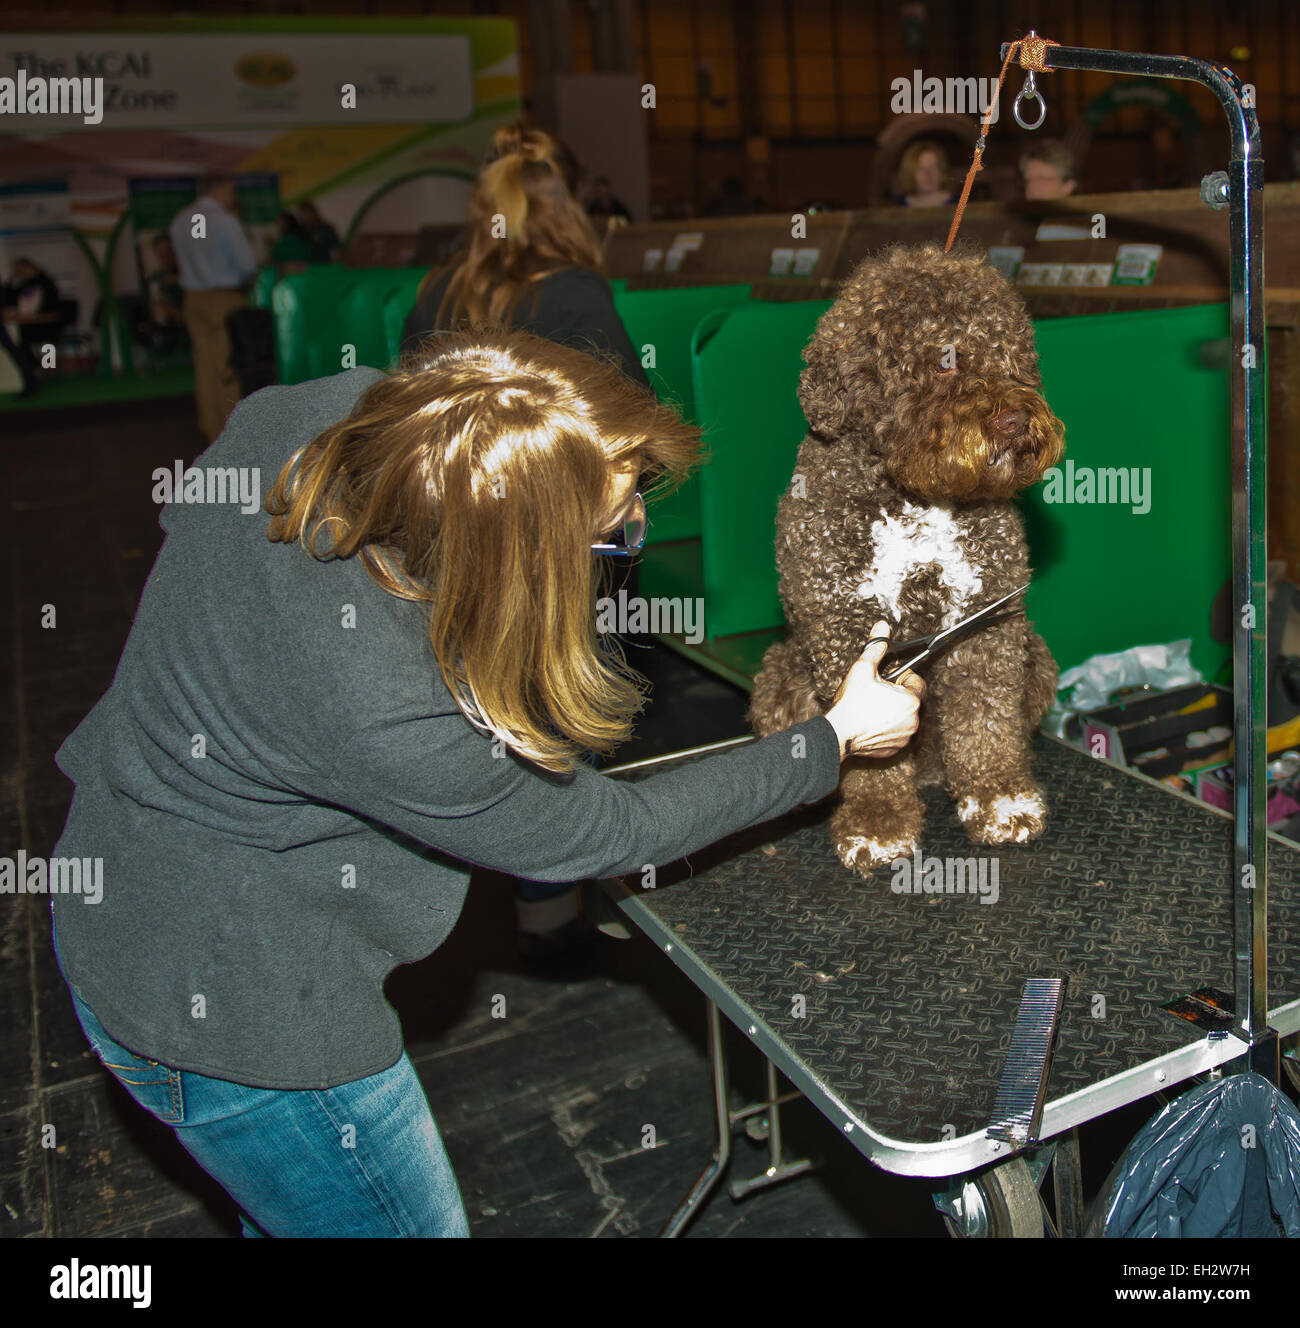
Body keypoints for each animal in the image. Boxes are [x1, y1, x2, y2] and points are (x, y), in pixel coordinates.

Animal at [754, 244, 1067, 876]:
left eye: (1013, 355)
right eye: (942, 361)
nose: (1015, 421)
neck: (915, 498)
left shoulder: (987, 625)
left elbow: (986, 719)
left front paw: (999, 799)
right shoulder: (846, 630)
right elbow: (869, 751)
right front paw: (878, 824)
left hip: (1038, 660)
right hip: (778, 678)